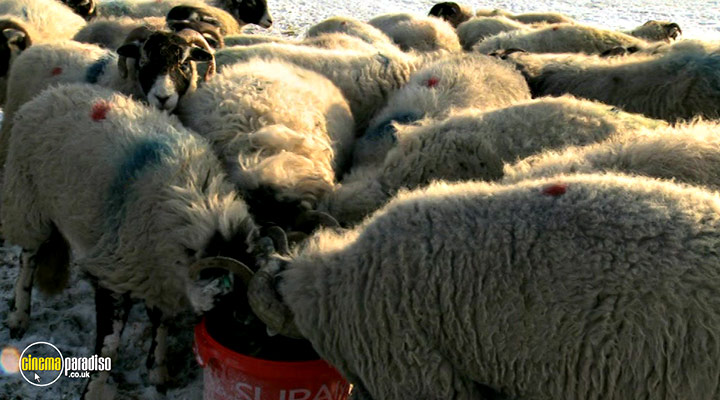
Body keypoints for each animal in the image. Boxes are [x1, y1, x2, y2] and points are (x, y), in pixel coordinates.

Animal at [4, 83, 264, 398]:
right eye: (235, 312)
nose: (251, 353)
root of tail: (52, 91)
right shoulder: (116, 274)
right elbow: (109, 345)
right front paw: (93, 391)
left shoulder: (159, 273)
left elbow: (161, 322)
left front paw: (158, 371)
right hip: (29, 202)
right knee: (28, 258)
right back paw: (19, 316)